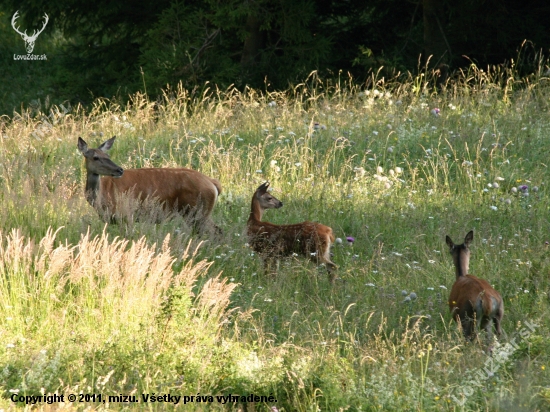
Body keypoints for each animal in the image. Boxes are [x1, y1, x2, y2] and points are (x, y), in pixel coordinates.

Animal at [78, 135, 224, 232]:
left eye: (107, 156)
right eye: (95, 157)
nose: (119, 170)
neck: (101, 198)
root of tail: (213, 183)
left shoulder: (126, 213)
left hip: (198, 211)